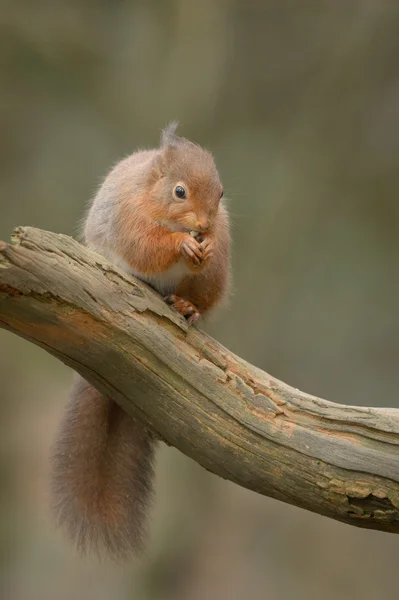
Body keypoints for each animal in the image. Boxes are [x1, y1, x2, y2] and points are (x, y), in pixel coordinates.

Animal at [50, 124, 231, 560]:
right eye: (180, 192)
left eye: (221, 193)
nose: (205, 226)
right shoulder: (129, 216)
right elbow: (146, 245)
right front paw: (181, 245)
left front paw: (206, 246)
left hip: (208, 281)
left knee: (200, 294)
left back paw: (187, 306)